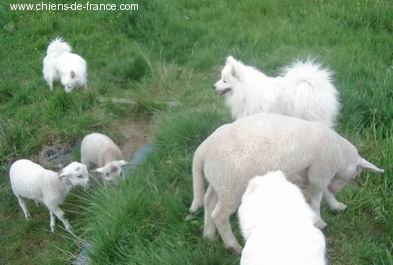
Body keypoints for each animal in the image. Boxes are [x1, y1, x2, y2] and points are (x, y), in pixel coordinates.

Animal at [188, 112, 382, 253]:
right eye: (356, 175)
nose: (336, 189)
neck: (339, 152)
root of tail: (202, 150)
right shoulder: (320, 170)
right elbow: (317, 196)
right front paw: (319, 221)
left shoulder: (309, 174)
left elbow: (322, 192)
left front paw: (336, 205)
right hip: (231, 185)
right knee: (220, 215)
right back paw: (233, 246)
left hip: (219, 181)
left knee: (208, 202)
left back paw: (209, 235)